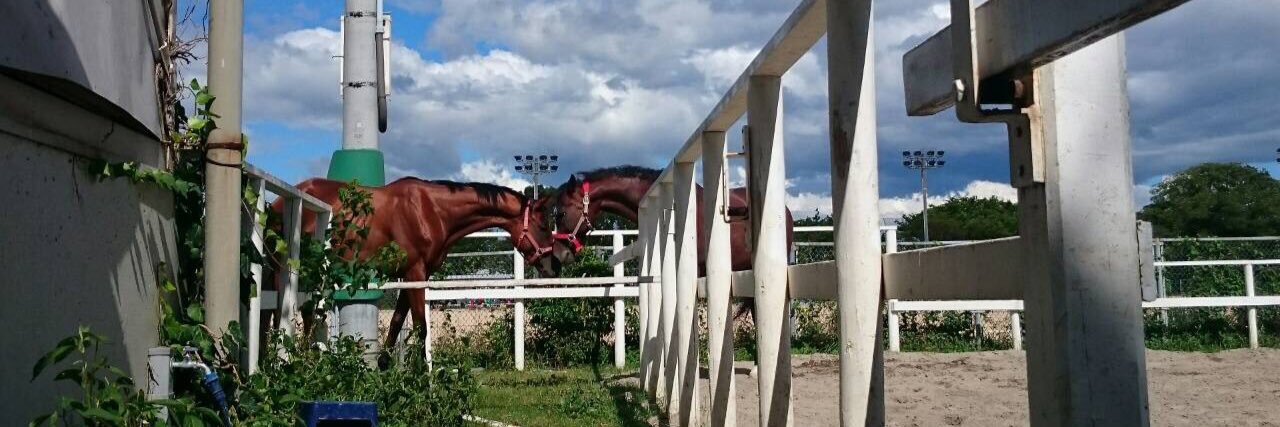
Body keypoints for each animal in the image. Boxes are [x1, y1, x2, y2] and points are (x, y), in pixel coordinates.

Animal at [273, 177, 560, 360]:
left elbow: (396, 324)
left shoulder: (410, 277)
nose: (555, 265)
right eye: (543, 226)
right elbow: (421, 328)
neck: (431, 210)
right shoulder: (416, 273)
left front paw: (384, 369)